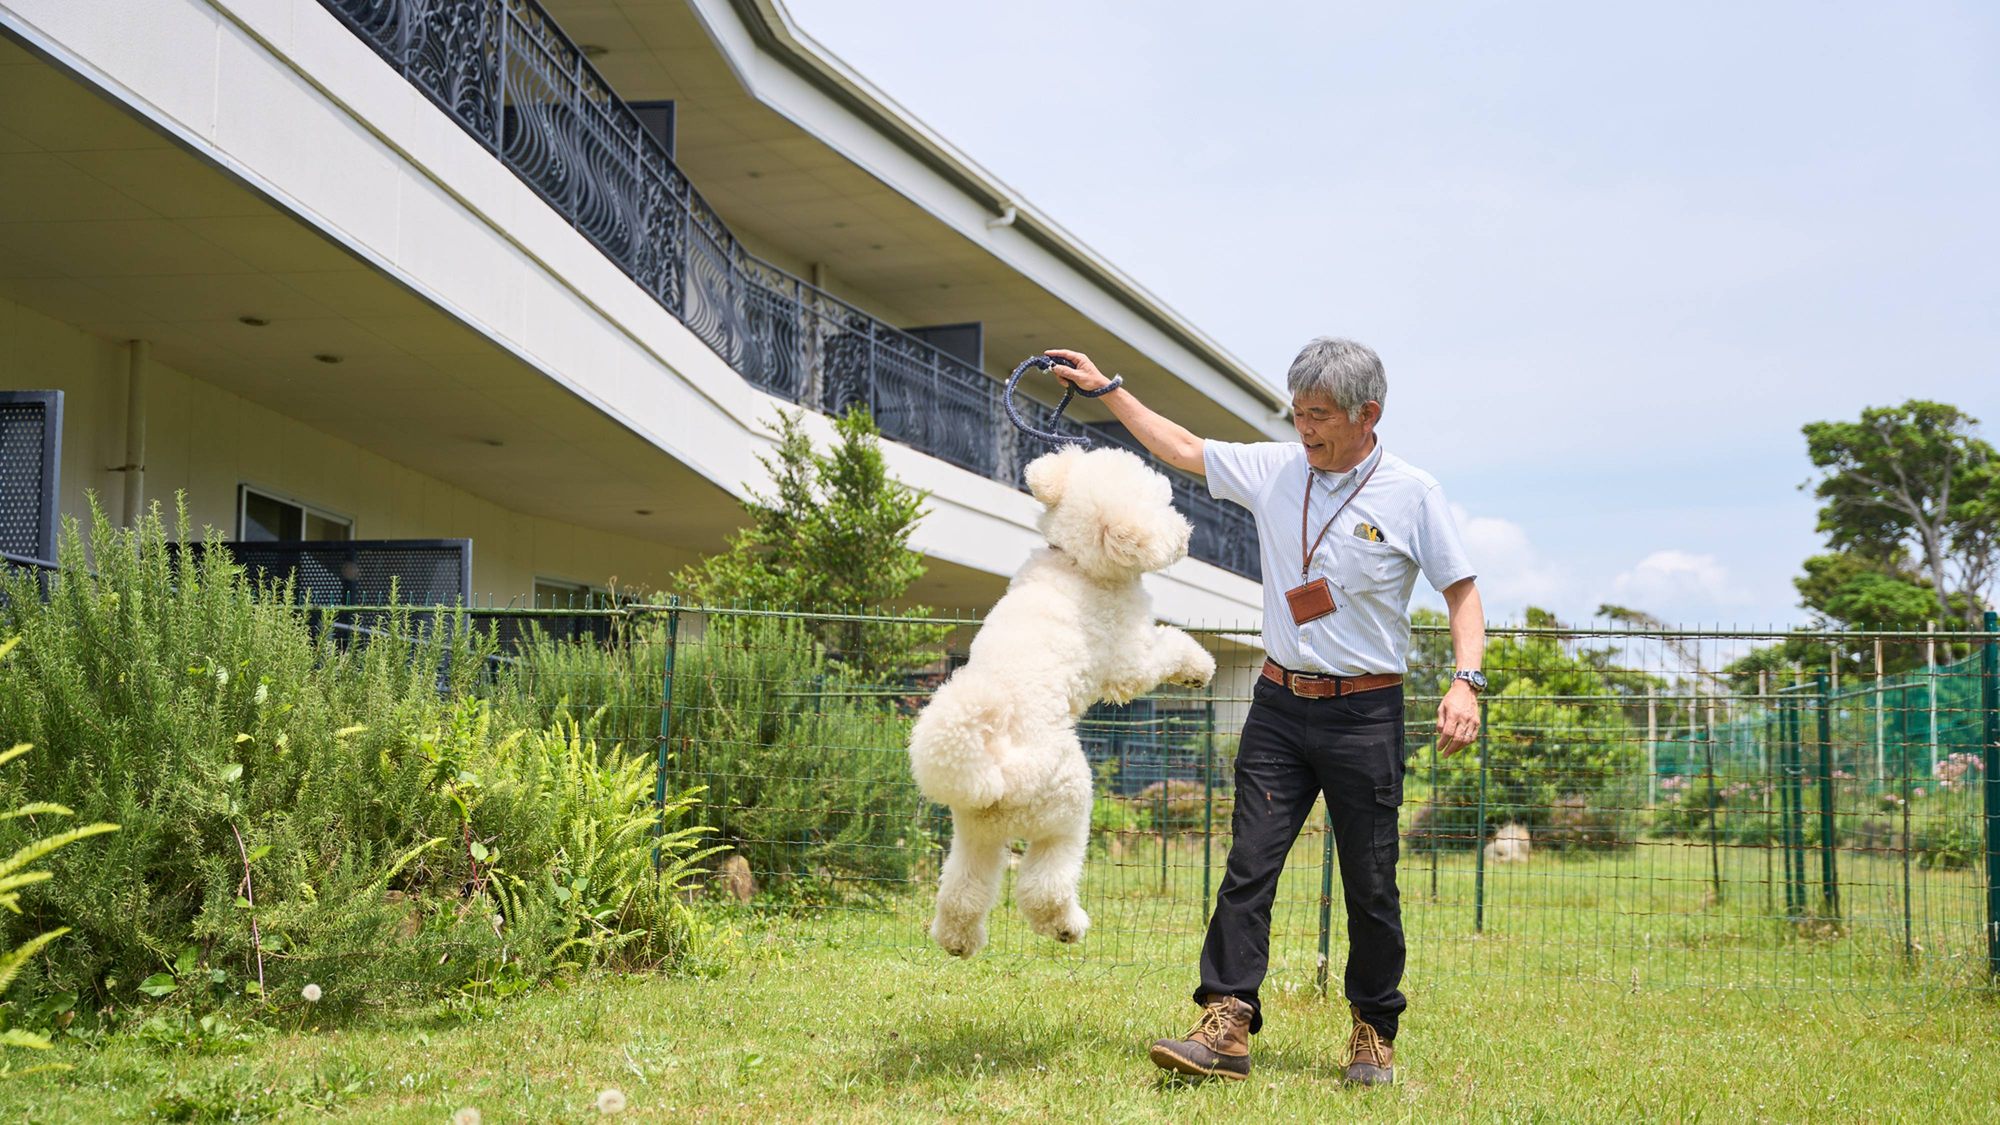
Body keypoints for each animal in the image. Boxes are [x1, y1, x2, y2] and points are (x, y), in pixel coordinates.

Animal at [912, 446, 1216, 952]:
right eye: (1163, 506)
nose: (1187, 533)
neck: (1076, 562)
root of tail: (998, 768)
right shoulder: (1127, 657)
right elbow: (1167, 649)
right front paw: (1198, 668)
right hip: (1070, 804)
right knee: (1044, 883)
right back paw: (1065, 925)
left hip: (975, 831)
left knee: (964, 888)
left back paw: (958, 941)